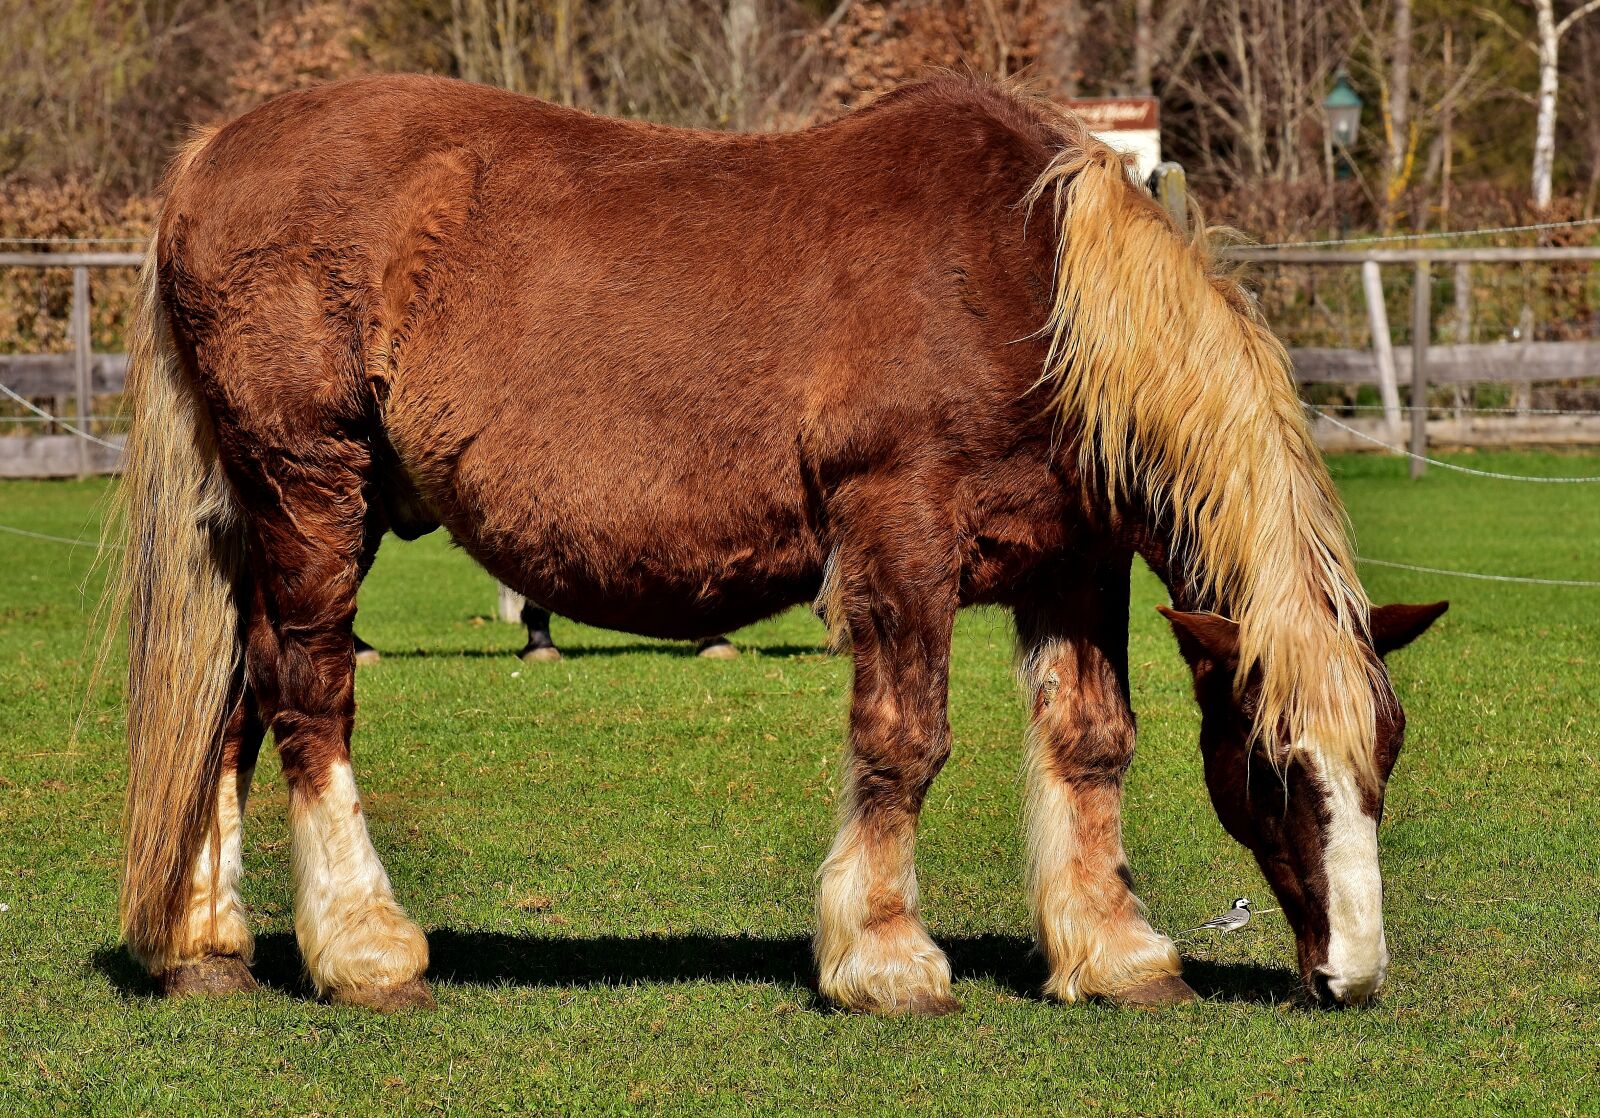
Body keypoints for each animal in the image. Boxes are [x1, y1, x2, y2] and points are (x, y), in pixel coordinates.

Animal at [111, 73, 1445, 1015]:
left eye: (1383, 751)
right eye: (1273, 764)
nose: (1352, 970)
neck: (1028, 283)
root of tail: (213, 155)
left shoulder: (1073, 562)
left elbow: (1090, 742)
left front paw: (1116, 954)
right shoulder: (900, 532)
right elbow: (904, 740)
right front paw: (886, 957)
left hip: (266, 515)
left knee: (232, 698)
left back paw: (207, 944)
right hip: (311, 487)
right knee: (308, 692)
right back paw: (364, 947)